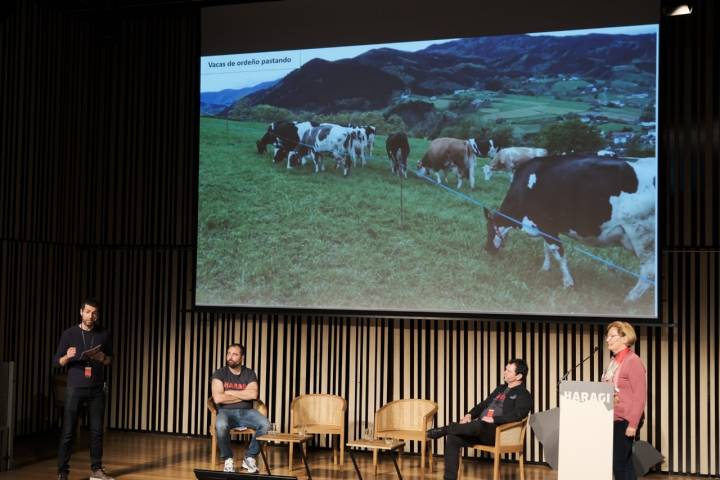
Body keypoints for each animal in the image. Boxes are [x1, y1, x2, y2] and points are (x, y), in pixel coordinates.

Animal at [486, 156, 656, 302]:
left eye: (489, 230)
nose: (487, 250)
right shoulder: (543, 227)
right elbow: (546, 248)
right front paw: (545, 269)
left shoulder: (546, 225)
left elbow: (558, 253)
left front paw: (568, 283)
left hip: (641, 234)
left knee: (648, 271)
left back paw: (630, 298)